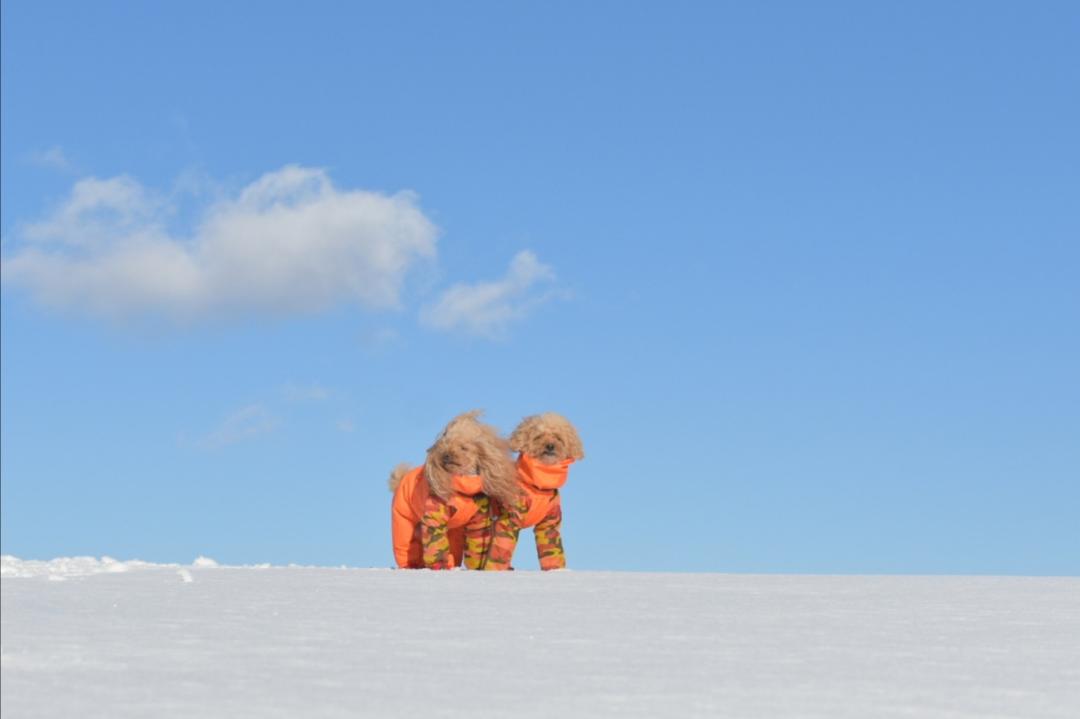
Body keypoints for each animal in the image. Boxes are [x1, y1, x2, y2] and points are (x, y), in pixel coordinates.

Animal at [390, 412, 520, 570]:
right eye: (444, 445)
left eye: (464, 448)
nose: (446, 455)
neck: (463, 486)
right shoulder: (435, 516)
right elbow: (435, 542)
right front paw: (440, 566)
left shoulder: (479, 522)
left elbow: (476, 545)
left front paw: (477, 568)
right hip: (404, 522)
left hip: (454, 531)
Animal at [486, 412, 583, 570]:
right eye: (538, 437)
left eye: (558, 437)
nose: (550, 446)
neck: (538, 487)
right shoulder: (510, 518)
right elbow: (502, 547)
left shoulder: (549, 522)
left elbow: (551, 548)